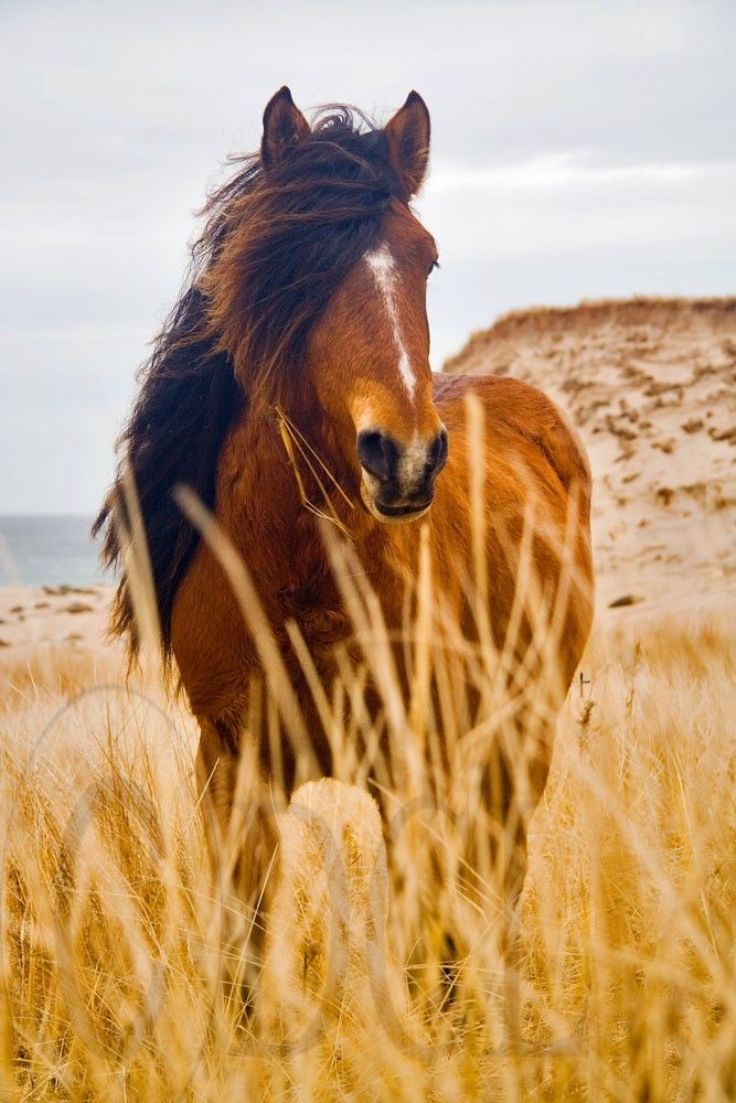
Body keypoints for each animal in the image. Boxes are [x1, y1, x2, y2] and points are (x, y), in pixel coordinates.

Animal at [96, 88, 591, 939]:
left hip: (520, 736)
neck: (297, 574)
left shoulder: (413, 776)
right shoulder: (231, 773)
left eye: (427, 257)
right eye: (297, 266)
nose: (407, 457)